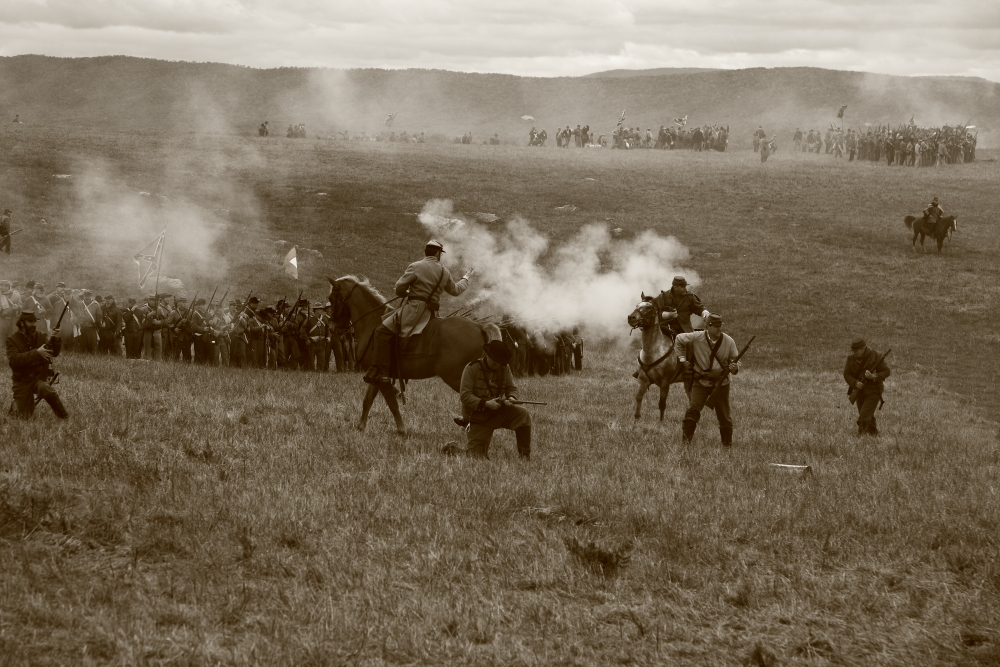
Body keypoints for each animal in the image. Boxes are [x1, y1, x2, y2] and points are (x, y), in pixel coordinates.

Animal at [328, 276, 500, 436]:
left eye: (331, 299)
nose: (332, 328)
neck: (372, 322)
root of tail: (479, 327)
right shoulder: (376, 375)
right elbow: (367, 400)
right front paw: (361, 427)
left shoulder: (381, 378)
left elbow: (392, 404)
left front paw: (401, 429)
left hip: (458, 377)